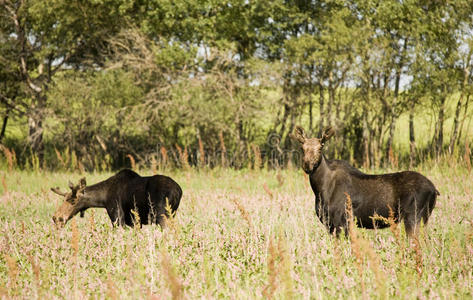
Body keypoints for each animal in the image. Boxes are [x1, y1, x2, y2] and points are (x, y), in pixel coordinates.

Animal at [51, 169, 181, 227]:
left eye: (73, 201)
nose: (57, 218)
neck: (102, 199)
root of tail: (178, 191)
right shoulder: (134, 222)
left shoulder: (117, 217)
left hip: (162, 216)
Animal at [292, 126, 438, 237]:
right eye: (302, 148)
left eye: (320, 148)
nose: (307, 165)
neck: (320, 189)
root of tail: (434, 190)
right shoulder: (329, 223)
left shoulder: (341, 220)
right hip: (423, 218)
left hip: (413, 216)